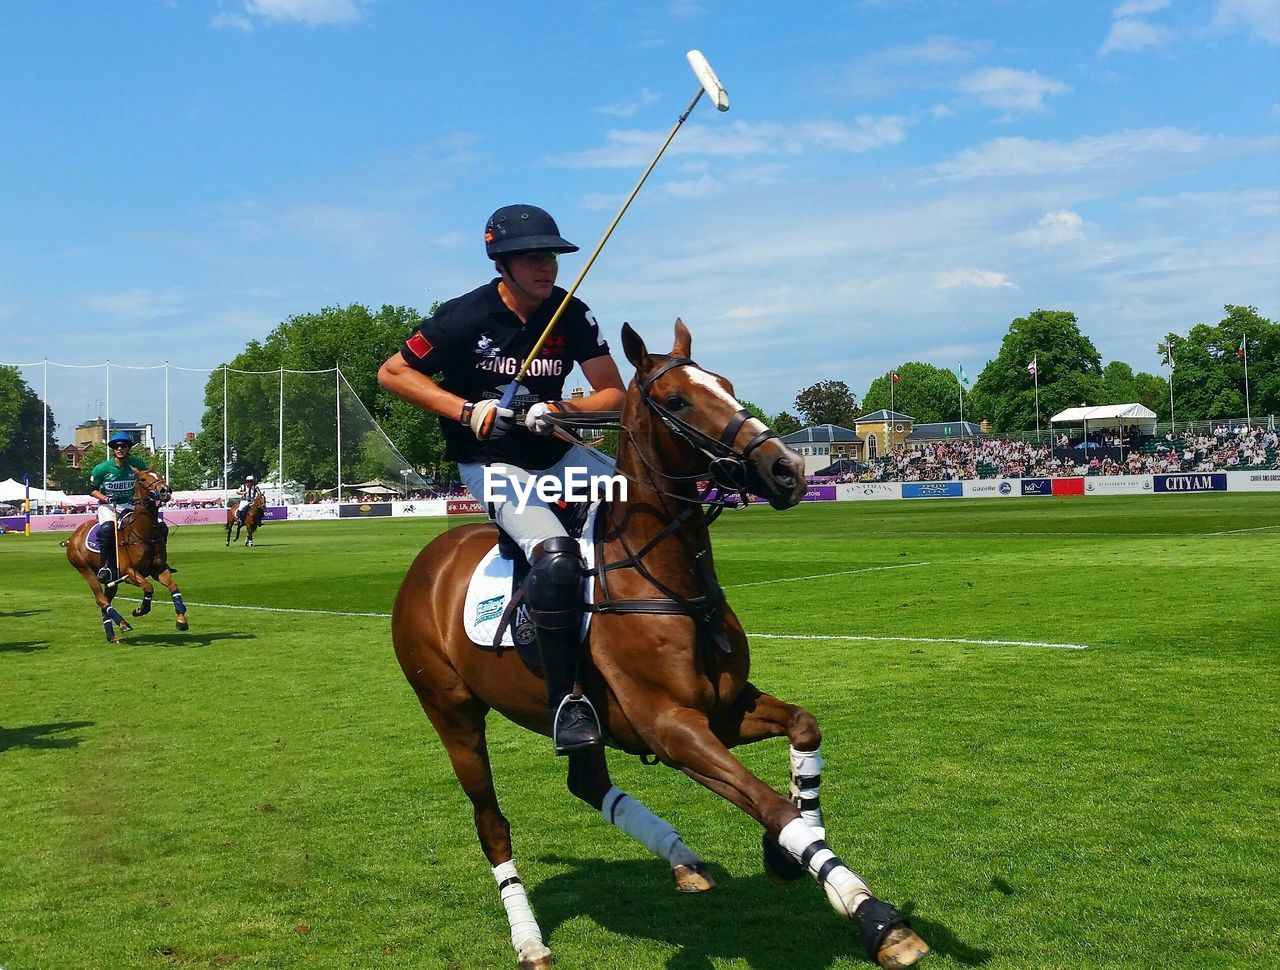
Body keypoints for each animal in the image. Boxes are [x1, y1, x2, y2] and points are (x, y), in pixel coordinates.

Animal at [65, 470, 189, 644]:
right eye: (143, 479)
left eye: (159, 475)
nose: (165, 490)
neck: (142, 533)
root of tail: (73, 536)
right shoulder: (128, 573)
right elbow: (148, 587)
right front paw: (140, 610)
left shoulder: (159, 569)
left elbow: (174, 587)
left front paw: (181, 621)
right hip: (85, 569)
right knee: (101, 599)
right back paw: (123, 623)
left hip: (111, 580)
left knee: (105, 602)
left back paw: (112, 634)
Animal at [389, 322, 931, 967]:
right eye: (676, 400)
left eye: (727, 385)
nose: (789, 469)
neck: (668, 581)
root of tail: (428, 557)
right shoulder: (672, 728)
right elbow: (771, 803)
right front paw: (874, 916)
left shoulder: (723, 710)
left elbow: (804, 729)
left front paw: (789, 855)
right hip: (451, 711)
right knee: (491, 821)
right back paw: (530, 940)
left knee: (586, 782)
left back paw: (682, 859)